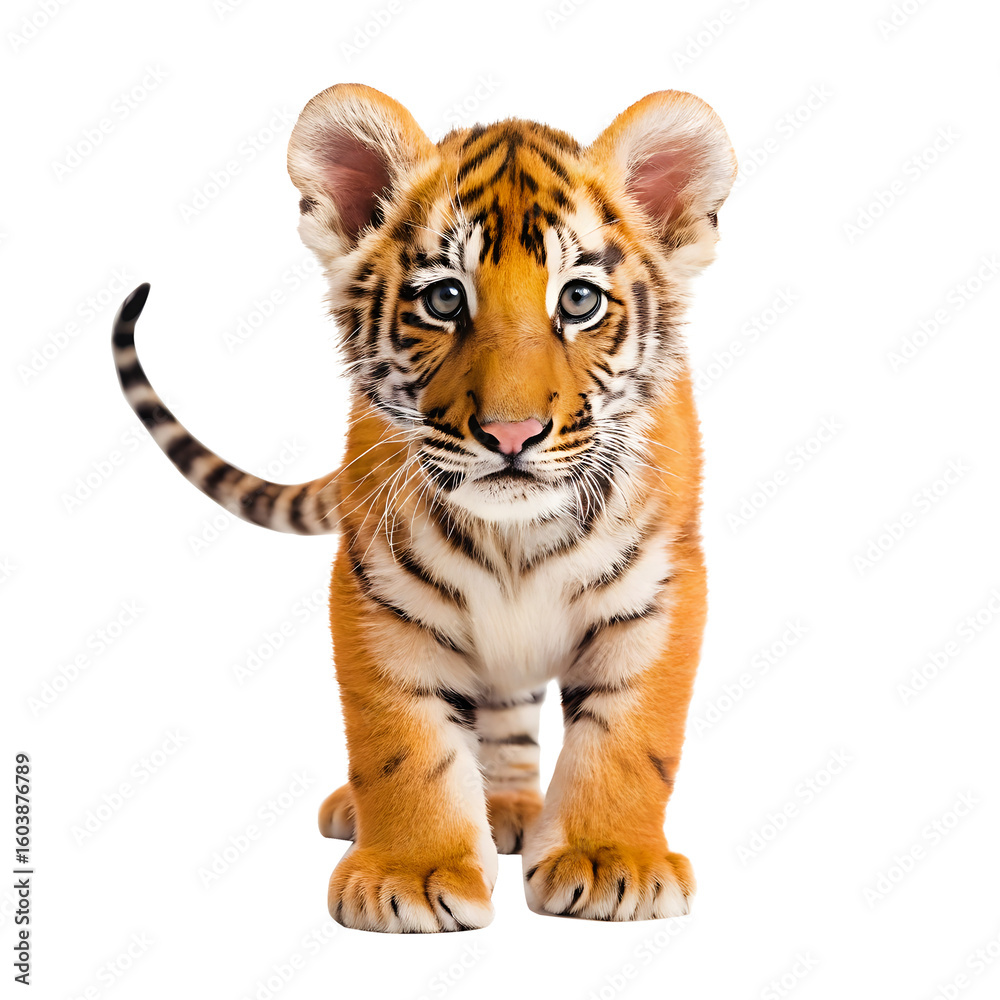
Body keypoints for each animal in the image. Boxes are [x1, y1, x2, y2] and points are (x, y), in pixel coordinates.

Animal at [111, 83, 736, 932]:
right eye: (445, 299)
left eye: (578, 300)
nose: (512, 433)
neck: (515, 536)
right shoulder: (378, 595)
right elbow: (403, 742)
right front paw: (410, 874)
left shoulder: (661, 593)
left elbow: (629, 737)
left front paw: (612, 862)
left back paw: (513, 811)